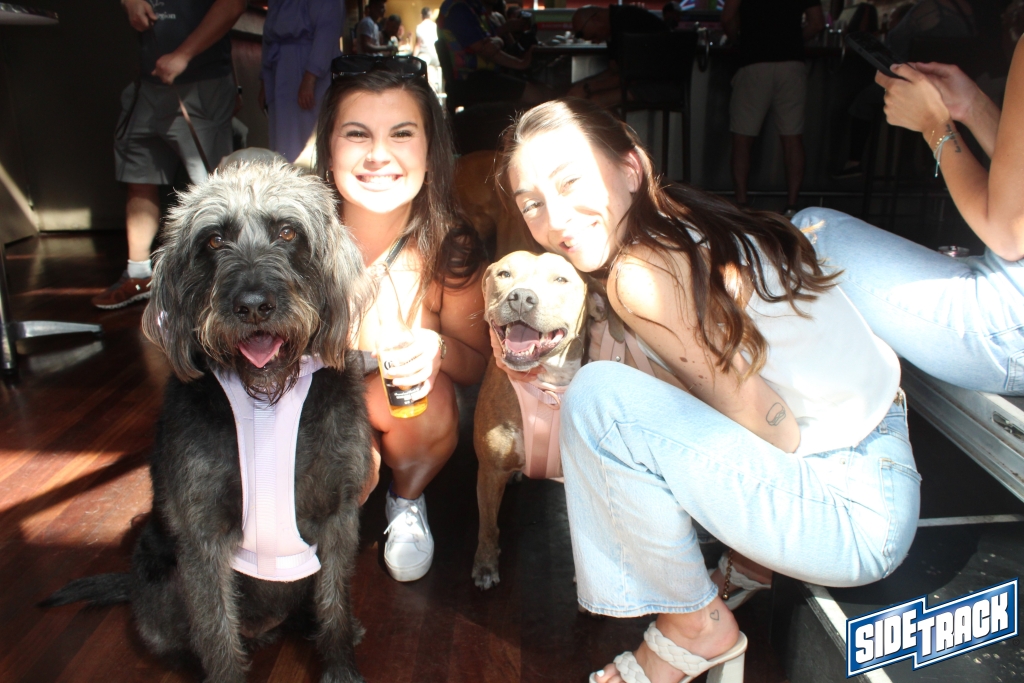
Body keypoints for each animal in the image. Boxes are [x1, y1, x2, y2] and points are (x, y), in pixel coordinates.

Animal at [41, 162, 373, 683]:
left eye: (287, 231)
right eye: (214, 240)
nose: (253, 305)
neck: (267, 400)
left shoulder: (338, 515)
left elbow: (335, 608)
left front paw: (341, 665)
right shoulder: (203, 537)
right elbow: (216, 632)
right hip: (158, 581)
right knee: (186, 636)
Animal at [472, 251, 590, 590]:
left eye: (561, 279)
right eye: (504, 274)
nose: (522, 298)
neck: (545, 387)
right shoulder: (489, 472)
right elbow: (487, 526)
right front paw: (485, 565)